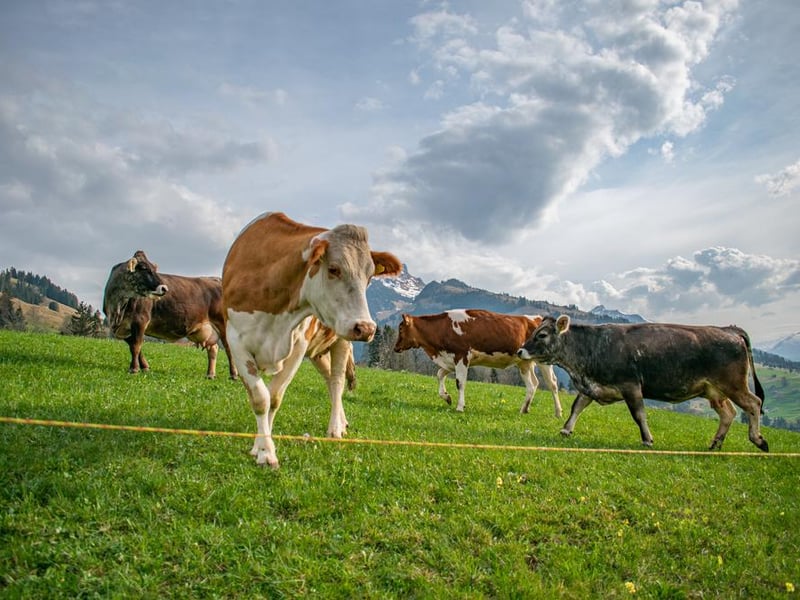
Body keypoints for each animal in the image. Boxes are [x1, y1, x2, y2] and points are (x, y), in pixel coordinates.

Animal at [103, 251, 237, 379]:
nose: (164, 288)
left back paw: (233, 374)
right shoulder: (121, 327)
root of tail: (216, 279)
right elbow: (135, 346)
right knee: (213, 349)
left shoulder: (140, 320)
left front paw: (134, 369)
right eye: (144, 268)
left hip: (224, 324)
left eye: (154, 268)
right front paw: (145, 367)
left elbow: (136, 346)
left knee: (229, 349)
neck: (116, 308)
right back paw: (210, 374)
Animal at [222, 211, 402, 468]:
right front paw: (263, 448)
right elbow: (260, 398)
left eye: (369, 277)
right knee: (329, 379)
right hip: (319, 350)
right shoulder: (235, 340)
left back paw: (335, 427)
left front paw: (264, 449)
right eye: (334, 269)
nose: (367, 328)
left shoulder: (298, 344)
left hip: (341, 340)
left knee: (336, 382)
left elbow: (274, 397)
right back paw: (342, 421)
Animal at [393, 309, 562, 417]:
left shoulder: (461, 356)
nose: (395, 348)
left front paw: (460, 407)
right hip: (524, 362)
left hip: (544, 361)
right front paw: (447, 397)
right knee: (533, 384)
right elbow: (439, 374)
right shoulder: (451, 359)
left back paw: (558, 412)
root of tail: (537, 318)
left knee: (552, 383)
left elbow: (460, 383)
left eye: (400, 328)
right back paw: (524, 409)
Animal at [517, 315, 768, 452]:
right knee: (729, 413)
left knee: (754, 403)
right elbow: (576, 407)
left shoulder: (631, 386)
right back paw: (715, 443)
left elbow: (639, 415)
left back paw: (758, 439)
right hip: (714, 390)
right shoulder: (591, 386)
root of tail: (730, 330)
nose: (520, 350)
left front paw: (647, 440)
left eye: (542, 335)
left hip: (734, 384)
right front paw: (566, 429)